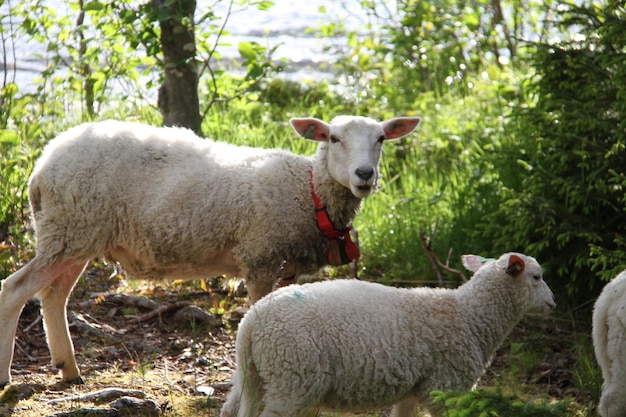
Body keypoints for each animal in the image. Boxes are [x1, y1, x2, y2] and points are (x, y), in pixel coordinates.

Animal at [0, 114, 422, 386]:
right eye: (333, 139)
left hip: (76, 235)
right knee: (14, 290)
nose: (365, 175)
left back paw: (68, 368)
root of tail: (42, 165)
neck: (310, 192)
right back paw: (8, 375)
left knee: (53, 295)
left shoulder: (286, 267)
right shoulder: (260, 257)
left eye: (381, 139)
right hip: (70, 227)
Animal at [221, 250, 556, 416]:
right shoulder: (443, 387)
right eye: (537, 277)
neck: (471, 316)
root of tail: (251, 323)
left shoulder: (415, 389)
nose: (553, 303)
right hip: (293, 378)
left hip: (257, 377)